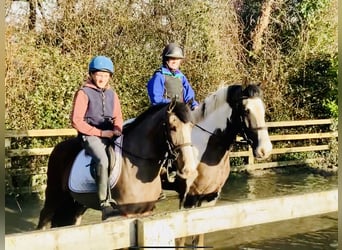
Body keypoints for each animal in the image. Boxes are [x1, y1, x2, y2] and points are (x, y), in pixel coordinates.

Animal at [36, 100, 198, 229]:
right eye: (172, 127)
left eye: (192, 126)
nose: (188, 170)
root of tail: (57, 148)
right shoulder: (125, 214)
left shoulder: (146, 212)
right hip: (53, 197)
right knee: (43, 220)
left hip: (76, 204)